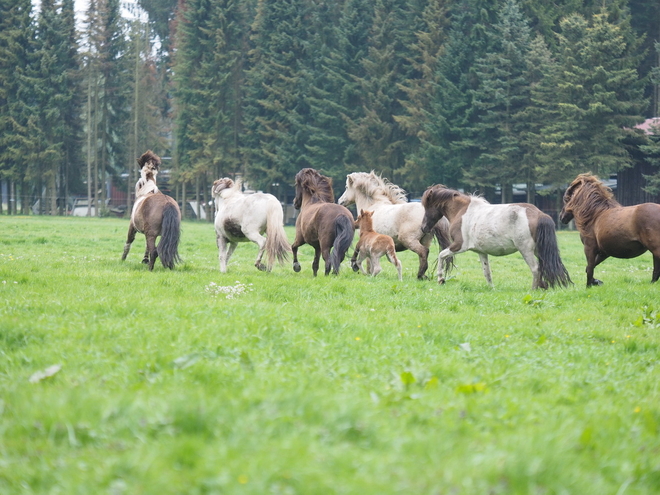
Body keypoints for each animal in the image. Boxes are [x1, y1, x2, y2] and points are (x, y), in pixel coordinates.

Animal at [422, 186, 572, 290]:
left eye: (426, 206)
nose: (423, 227)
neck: (462, 211)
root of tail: (539, 214)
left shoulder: (459, 246)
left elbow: (441, 255)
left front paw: (440, 279)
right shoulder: (481, 252)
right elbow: (487, 272)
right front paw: (492, 289)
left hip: (525, 250)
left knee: (535, 268)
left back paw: (534, 289)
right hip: (538, 250)